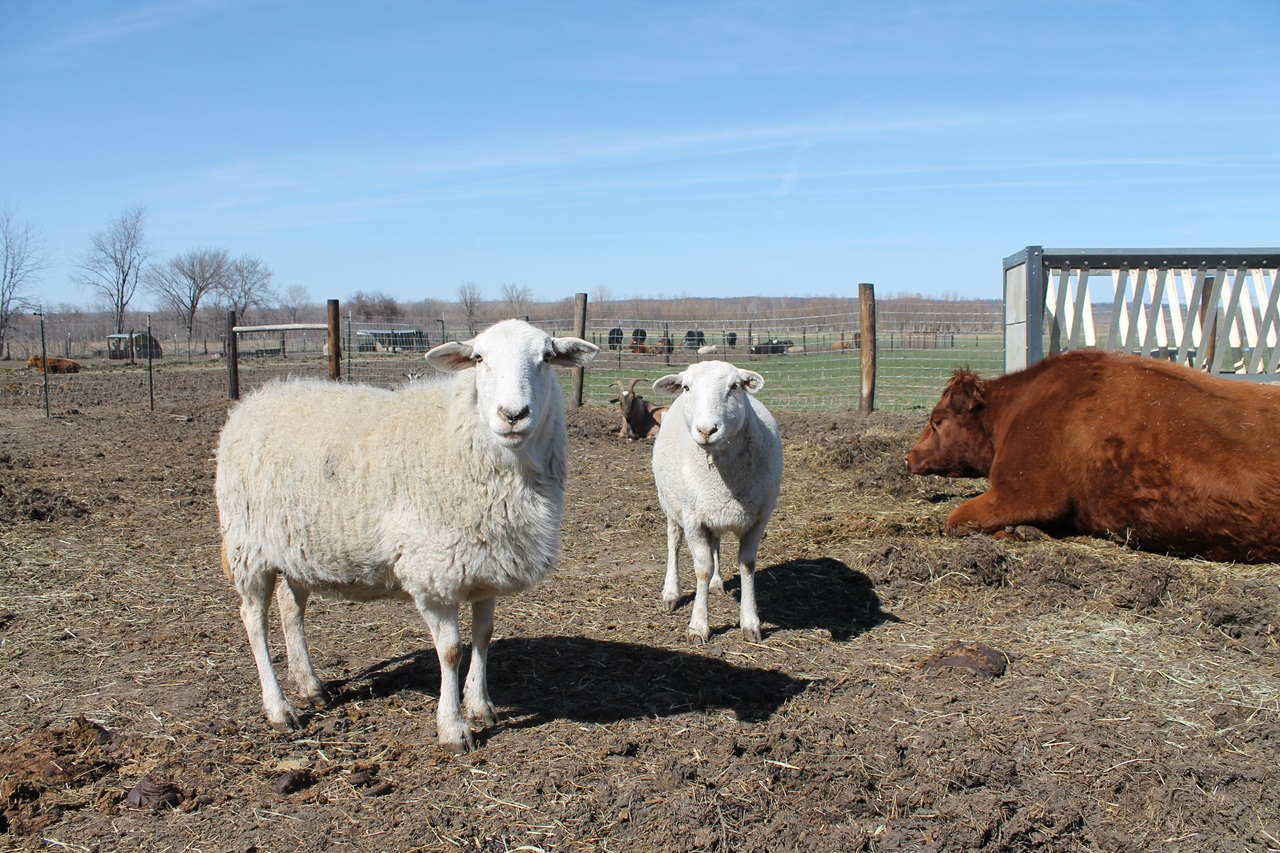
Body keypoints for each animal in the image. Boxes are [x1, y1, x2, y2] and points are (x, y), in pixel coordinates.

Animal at [215, 318, 599, 753]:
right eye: (478, 358)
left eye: (547, 358)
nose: (513, 414)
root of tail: (253, 400)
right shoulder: (433, 571)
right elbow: (450, 651)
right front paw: (453, 727)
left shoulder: (485, 565)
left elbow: (483, 636)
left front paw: (480, 705)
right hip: (248, 545)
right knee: (253, 620)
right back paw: (279, 709)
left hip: (297, 546)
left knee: (290, 609)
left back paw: (310, 686)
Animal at [650, 356, 778, 640]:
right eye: (686, 388)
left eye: (734, 386)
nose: (707, 430)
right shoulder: (694, 519)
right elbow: (702, 569)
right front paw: (699, 625)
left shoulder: (759, 518)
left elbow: (747, 565)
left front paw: (750, 622)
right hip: (670, 503)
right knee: (673, 542)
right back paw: (671, 592)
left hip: (714, 511)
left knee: (716, 544)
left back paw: (717, 583)